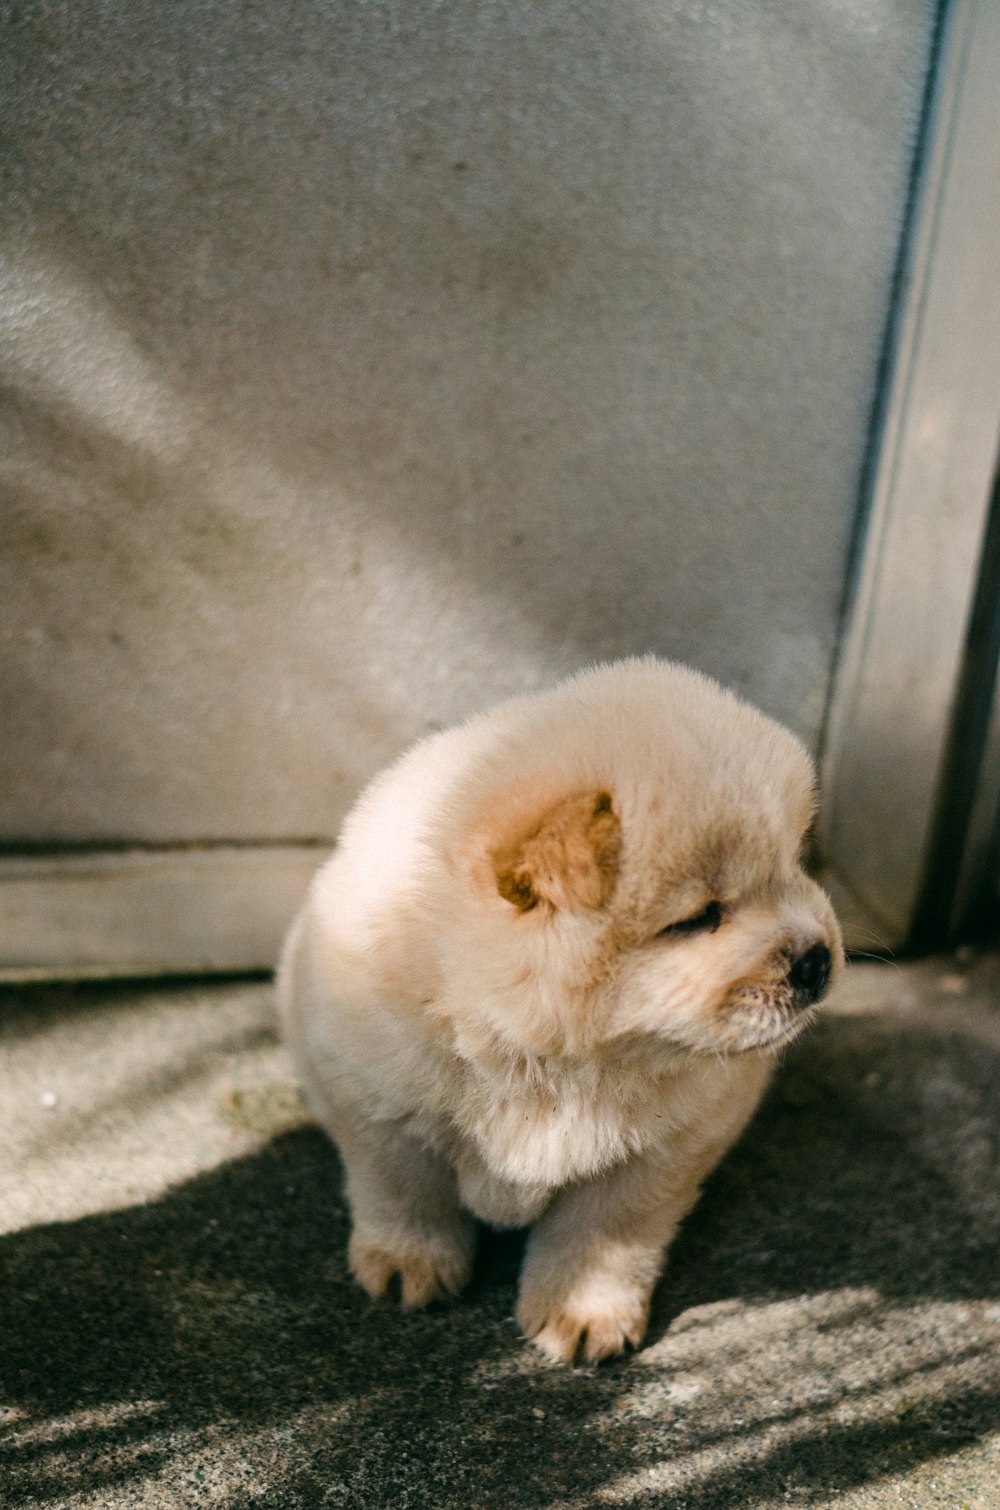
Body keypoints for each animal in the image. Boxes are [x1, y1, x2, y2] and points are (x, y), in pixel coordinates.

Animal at [279, 655, 845, 1365]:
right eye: (698, 918)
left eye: (794, 868)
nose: (816, 960)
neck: (556, 1064)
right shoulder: (379, 1106)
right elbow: (405, 1192)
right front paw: (412, 1265)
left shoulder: (661, 1150)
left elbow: (602, 1236)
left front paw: (581, 1314)